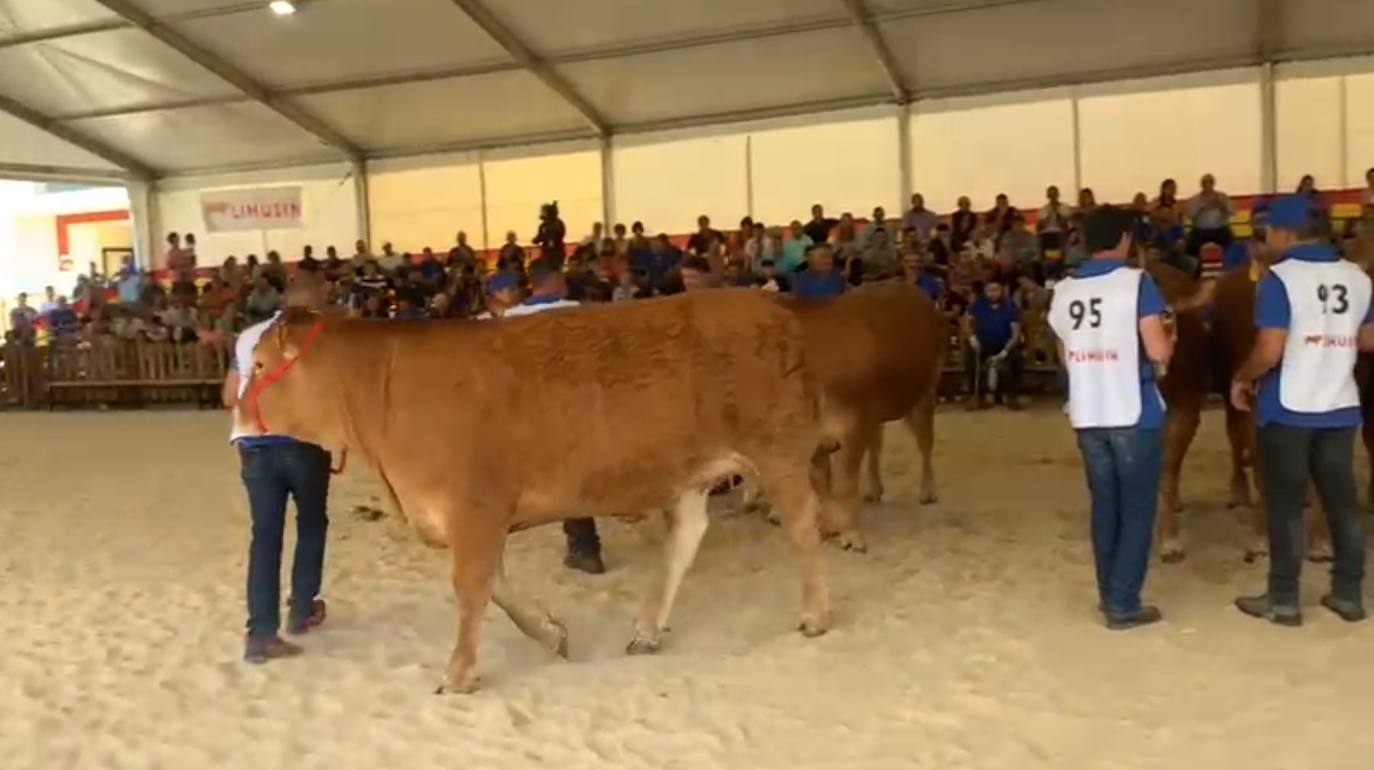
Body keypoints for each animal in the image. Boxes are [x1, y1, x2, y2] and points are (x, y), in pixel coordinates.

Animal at [239, 290, 824, 693]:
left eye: (261, 364)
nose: (238, 412)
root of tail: (767, 303)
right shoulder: (475, 518)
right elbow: (496, 586)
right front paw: (550, 633)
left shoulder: (474, 507)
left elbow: (471, 587)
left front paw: (458, 674)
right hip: (691, 472)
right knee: (685, 538)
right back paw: (647, 629)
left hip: (778, 449)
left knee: (802, 524)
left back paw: (815, 615)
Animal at [774, 283, 945, 552]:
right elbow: (822, 485)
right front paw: (829, 528)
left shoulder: (853, 425)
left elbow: (843, 484)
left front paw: (851, 535)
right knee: (877, 444)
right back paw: (875, 488)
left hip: (923, 394)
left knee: (925, 442)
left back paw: (927, 491)